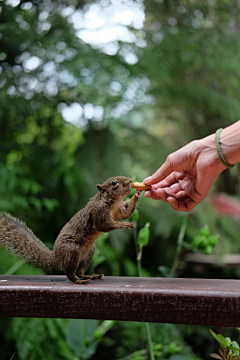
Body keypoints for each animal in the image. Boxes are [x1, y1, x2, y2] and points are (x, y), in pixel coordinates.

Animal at [0, 177, 141, 284]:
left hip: (89, 253)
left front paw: (137, 195)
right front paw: (123, 224)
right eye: (114, 183)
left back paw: (89, 276)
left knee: (80, 271)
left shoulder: (119, 210)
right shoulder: (98, 212)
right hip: (72, 251)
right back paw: (78, 281)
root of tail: (56, 257)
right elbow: (104, 226)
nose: (130, 180)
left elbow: (126, 212)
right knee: (70, 274)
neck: (111, 203)